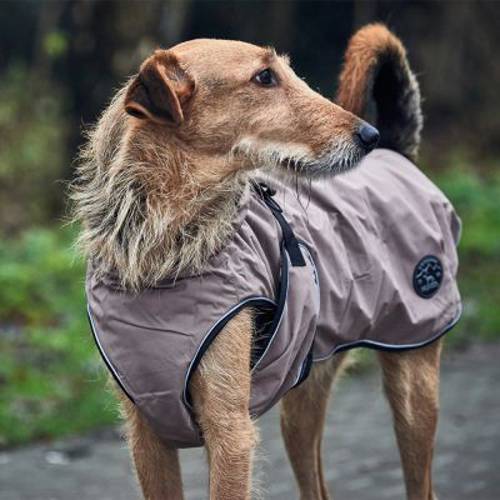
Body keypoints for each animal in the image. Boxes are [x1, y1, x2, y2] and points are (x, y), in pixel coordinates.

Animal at [72, 24, 461, 500]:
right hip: (301, 403)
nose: (367, 135)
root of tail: (396, 152)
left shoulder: (230, 432)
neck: (162, 259)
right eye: (264, 77)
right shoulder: (147, 433)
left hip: (412, 385)